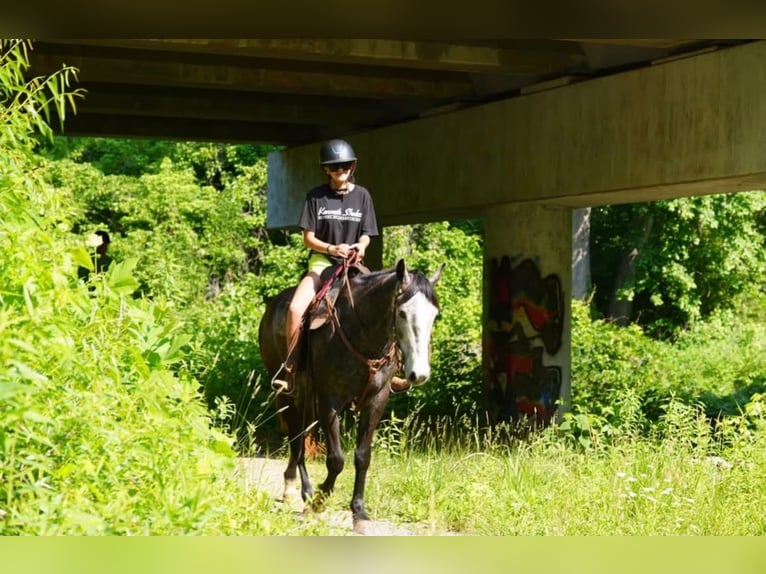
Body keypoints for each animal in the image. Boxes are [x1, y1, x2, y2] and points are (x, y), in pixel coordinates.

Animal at [258, 258, 442, 533]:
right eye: (402, 313)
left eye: (434, 315)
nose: (418, 374)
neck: (364, 332)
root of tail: (273, 306)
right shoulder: (330, 398)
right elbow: (336, 459)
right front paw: (319, 501)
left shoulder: (376, 400)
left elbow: (362, 457)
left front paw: (359, 513)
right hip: (287, 390)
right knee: (294, 433)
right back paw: (300, 490)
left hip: (308, 393)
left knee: (302, 431)